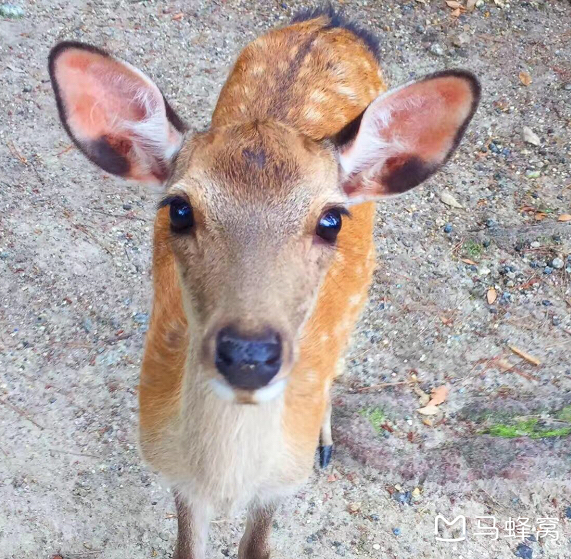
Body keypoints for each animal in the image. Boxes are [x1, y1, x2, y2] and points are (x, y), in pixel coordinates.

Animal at [49, 5, 480, 559]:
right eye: (179, 209)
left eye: (331, 220)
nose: (249, 355)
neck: (226, 481)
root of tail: (330, 21)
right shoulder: (176, 478)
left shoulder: (280, 485)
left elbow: (257, 546)